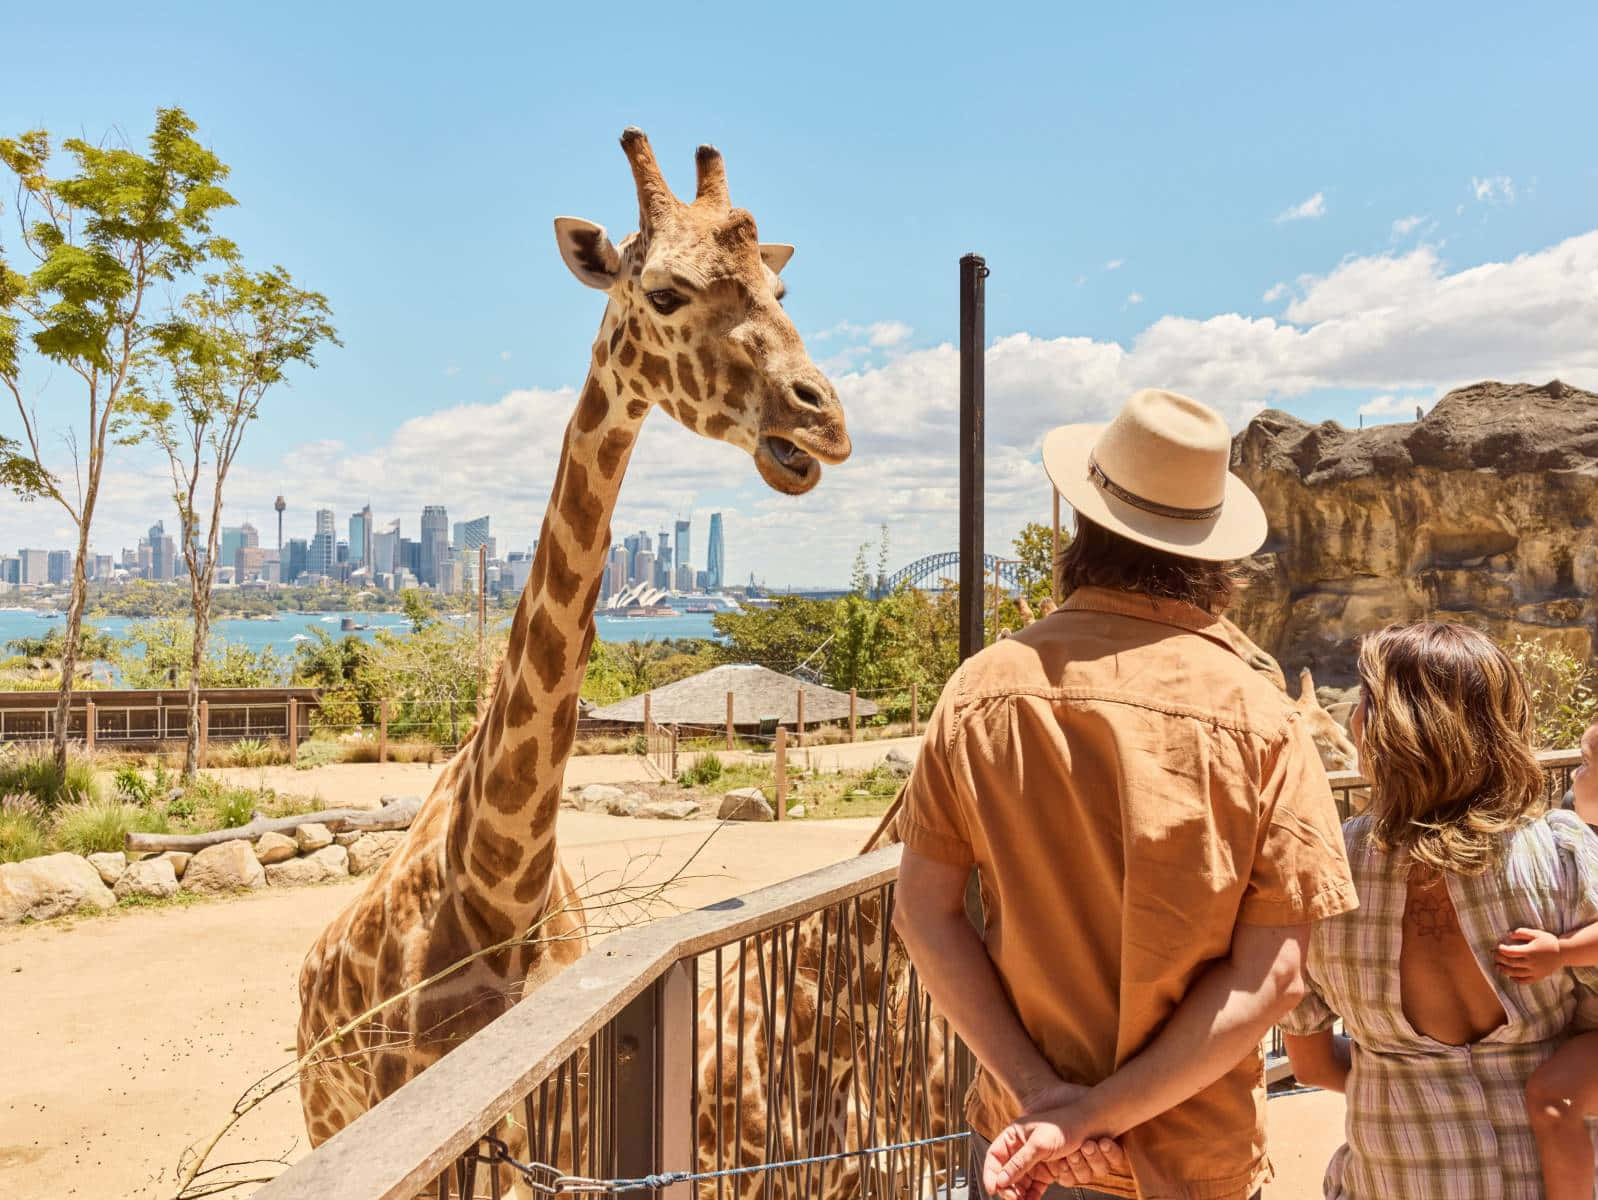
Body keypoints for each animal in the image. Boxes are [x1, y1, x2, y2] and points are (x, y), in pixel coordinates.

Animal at [294, 129, 856, 1156]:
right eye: (664, 292)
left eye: (780, 286)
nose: (823, 418)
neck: (498, 891)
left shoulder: (564, 1119)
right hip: (322, 1110)